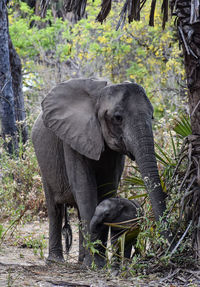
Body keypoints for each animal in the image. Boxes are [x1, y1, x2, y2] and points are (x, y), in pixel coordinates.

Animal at [32, 78, 167, 268]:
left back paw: (80, 261)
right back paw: (56, 261)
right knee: (54, 208)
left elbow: (107, 187)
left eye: (152, 116)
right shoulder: (73, 138)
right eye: (117, 117)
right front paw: (94, 265)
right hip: (44, 162)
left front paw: (98, 264)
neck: (99, 96)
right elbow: (85, 188)